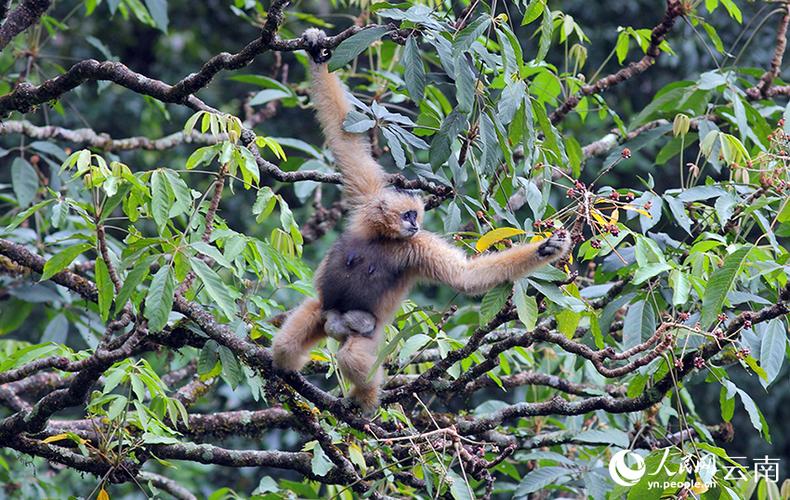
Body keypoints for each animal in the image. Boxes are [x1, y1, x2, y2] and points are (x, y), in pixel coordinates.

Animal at [271, 28, 572, 412]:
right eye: (409, 214)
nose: (414, 224)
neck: (382, 237)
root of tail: (334, 322)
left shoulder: (418, 247)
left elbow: (465, 278)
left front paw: (547, 249)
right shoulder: (367, 196)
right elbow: (344, 138)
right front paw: (316, 53)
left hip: (370, 331)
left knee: (353, 355)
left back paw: (364, 402)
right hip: (322, 310)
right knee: (287, 344)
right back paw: (287, 371)